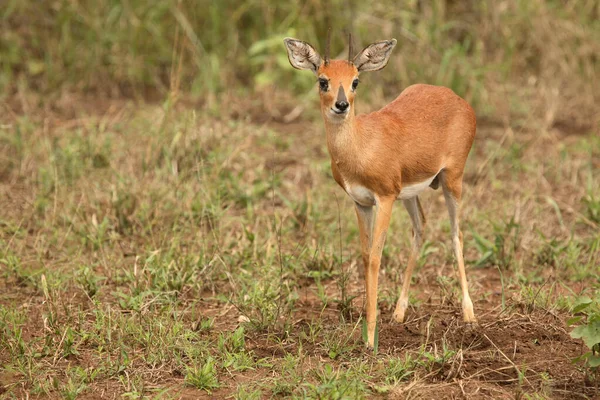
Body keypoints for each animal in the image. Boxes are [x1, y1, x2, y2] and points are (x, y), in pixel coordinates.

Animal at [284, 33, 476, 346]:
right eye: (323, 80)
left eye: (355, 81)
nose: (341, 105)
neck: (361, 147)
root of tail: (458, 99)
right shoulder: (361, 202)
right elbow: (364, 256)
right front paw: (367, 325)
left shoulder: (384, 198)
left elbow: (375, 257)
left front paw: (371, 338)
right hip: (410, 193)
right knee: (421, 227)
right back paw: (399, 313)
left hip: (452, 180)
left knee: (456, 233)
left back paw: (470, 316)